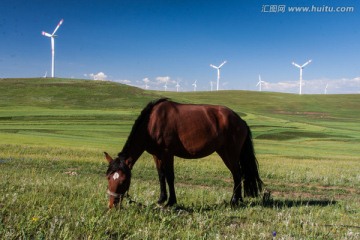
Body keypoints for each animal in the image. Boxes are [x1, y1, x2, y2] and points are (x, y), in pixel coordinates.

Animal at [103, 98, 262, 207]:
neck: (152, 123)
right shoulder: (156, 155)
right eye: (108, 178)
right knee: (238, 174)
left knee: (237, 174)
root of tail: (240, 121)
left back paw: (234, 200)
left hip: (230, 153)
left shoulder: (167, 154)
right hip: (224, 152)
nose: (111, 205)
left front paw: (171, 202)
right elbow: (161, 176)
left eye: (123, 180)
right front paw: (161, 199)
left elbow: (170, 177)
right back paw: (238, 199)